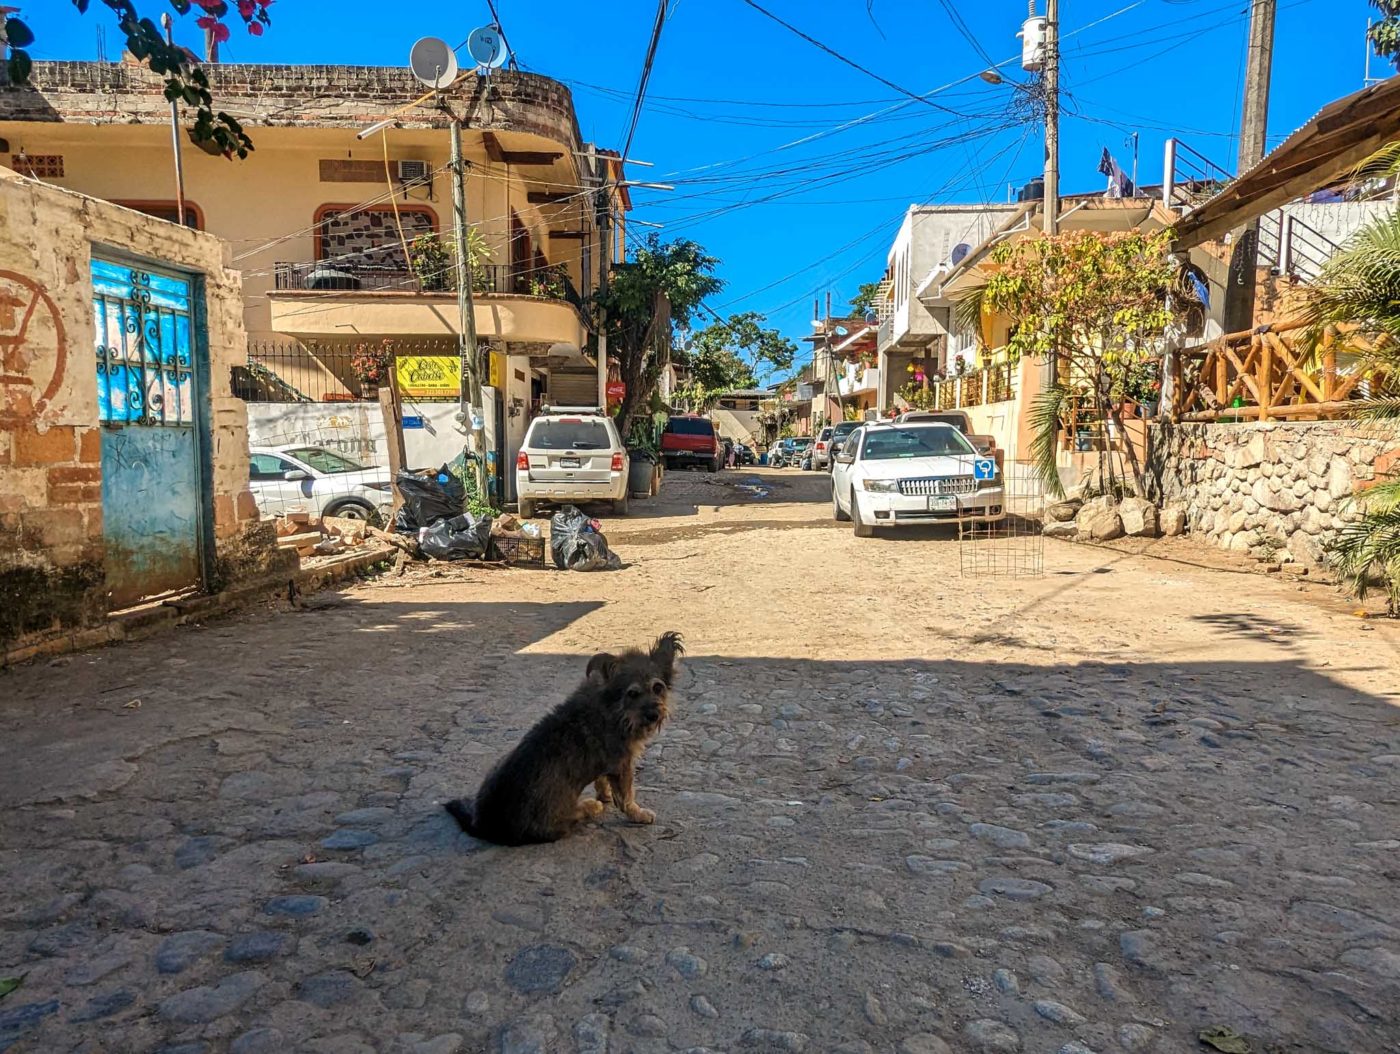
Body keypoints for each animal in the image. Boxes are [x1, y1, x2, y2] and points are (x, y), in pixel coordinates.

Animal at [445, 629, 686, 845]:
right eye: (633, 693)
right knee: (577, 815)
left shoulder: (607, 765)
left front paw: (605, 794)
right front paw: (639, 815)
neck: (615, 708)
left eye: (658, 688)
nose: (654, 715)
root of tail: (485, 827)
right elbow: (627, 798)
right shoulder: (622, 765)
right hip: (560, 818)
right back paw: (590, 806)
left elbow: (601, 780)